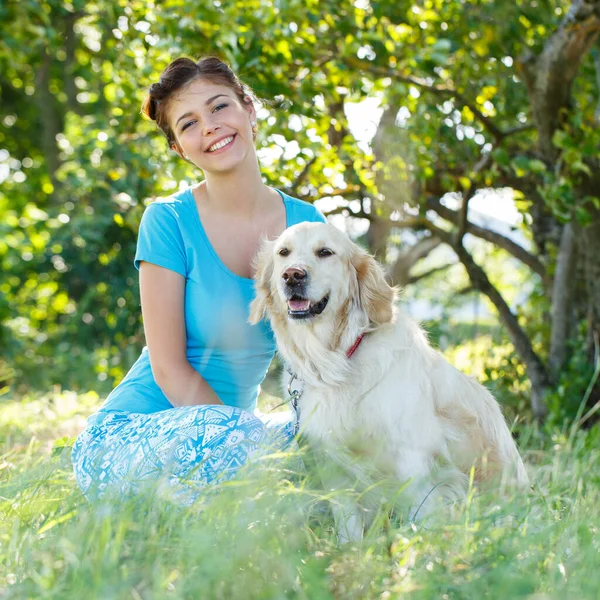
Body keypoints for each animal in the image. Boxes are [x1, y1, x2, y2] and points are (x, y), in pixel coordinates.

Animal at [248, 223, 528, 540]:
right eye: (283, 252)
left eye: (325, 252)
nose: (292, 275)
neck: (335, 361)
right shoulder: (333, 468)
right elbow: (348, 527)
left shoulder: (415, 463)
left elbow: (422, 521)